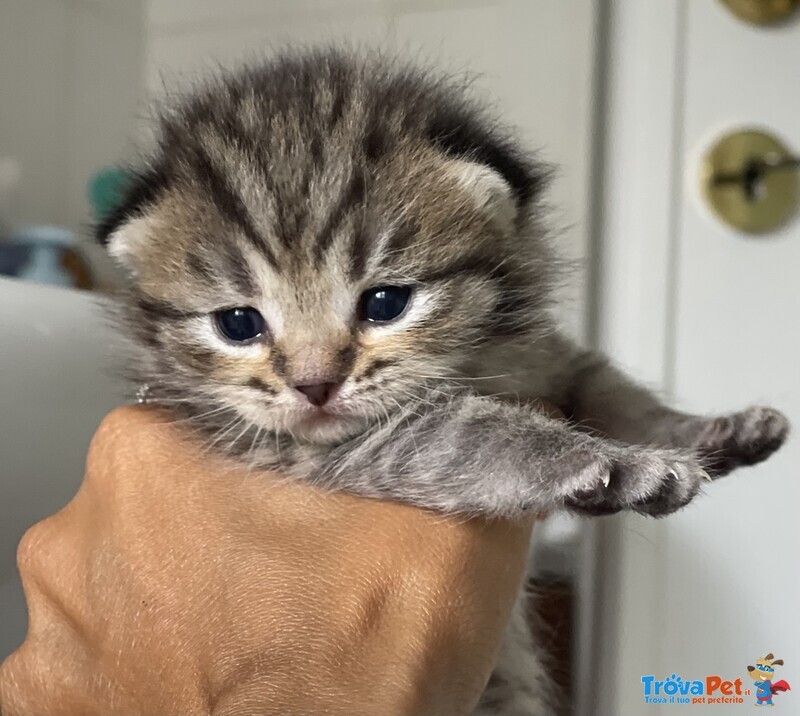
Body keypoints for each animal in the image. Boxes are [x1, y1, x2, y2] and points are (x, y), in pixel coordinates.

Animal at [97, 47, 792, 712]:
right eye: (238, 323)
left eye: (385, 303)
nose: (314, 386)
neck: (485, 355)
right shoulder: (316, 451)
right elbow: (476, 434)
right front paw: (616, 465)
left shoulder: (552, 356)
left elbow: (621, 394)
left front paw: (713, 431)